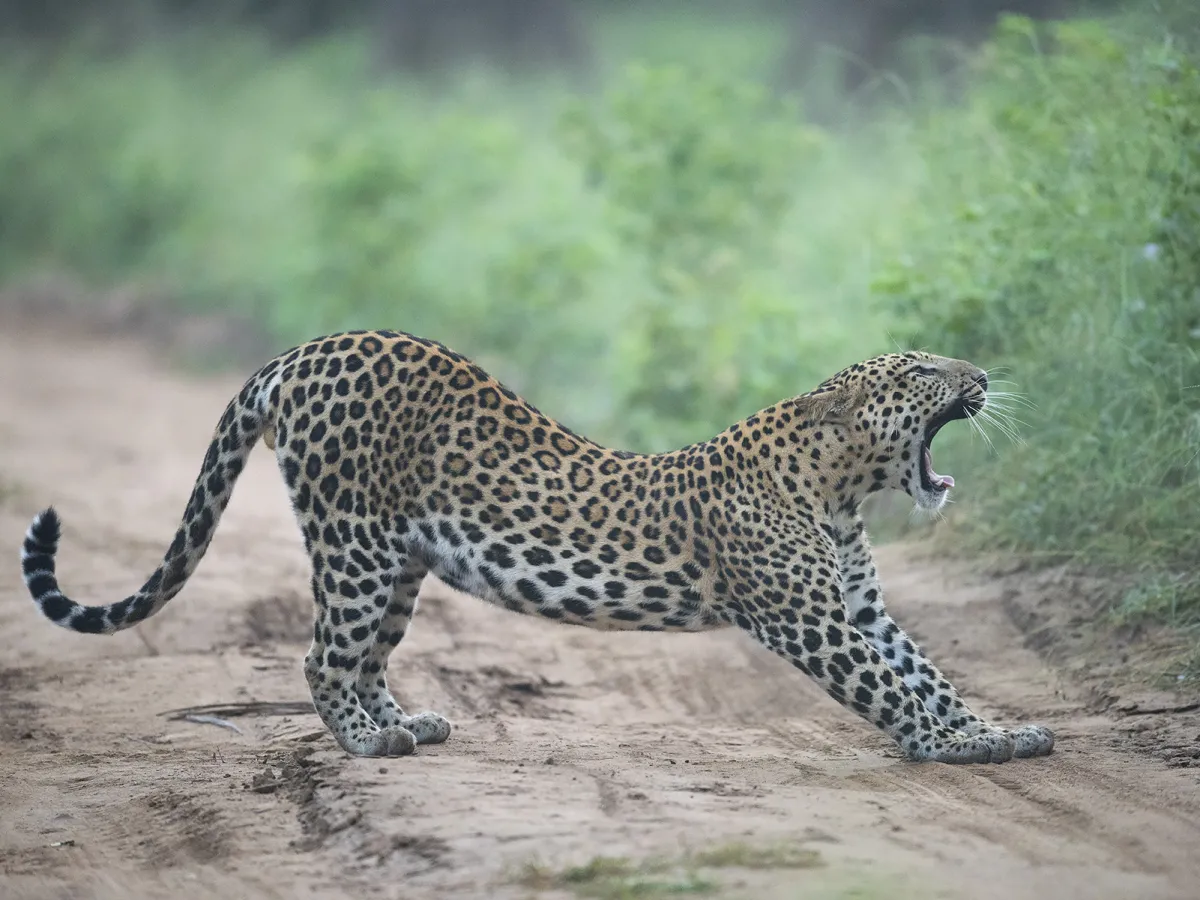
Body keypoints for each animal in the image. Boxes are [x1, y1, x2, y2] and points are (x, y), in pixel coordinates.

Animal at [20, 329, 1055, 764]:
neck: (841, 492)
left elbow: (923, 671)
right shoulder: (811, 619)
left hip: (399, 562)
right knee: (322, 655)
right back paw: (366, 743)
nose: (982, 372)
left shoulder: (858, 608)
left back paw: (408, 722)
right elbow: (888, 688)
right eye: (920, 371)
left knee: (364, 656)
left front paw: (994, 730)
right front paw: (948, 747)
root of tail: (302, 350)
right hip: (352, 543)